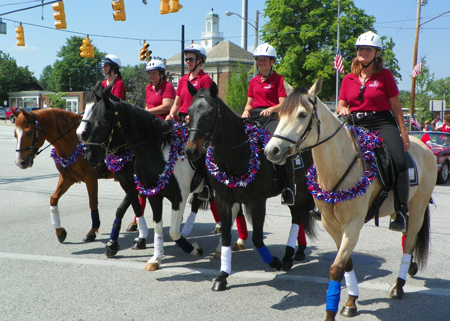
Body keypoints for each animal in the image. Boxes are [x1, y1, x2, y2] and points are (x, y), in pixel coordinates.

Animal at [13, 106, 114, 241]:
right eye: (15, 134)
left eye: (28, 133)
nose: (20, 162)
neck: (74, 141)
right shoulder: (67, 177)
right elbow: (53, 198)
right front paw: (59, 231)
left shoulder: (91, 178)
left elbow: (93, 202)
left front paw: (92, 231)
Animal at [83, 85, 206, 270]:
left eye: (102, 122)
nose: (90, 156)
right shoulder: (134, 185)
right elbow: (138, 211)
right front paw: (143, 246)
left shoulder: (170, 193)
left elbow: (123, 208)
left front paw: (113, 243)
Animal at [183, 82, 316, 290]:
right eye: (189, 112)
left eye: (211, 112)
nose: (191, 151)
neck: (238, 153)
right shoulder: (223, 200)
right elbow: (226, 236)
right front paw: (222, 276)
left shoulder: (257, 202)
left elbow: (258, 239)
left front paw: (274, 262)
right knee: (299, 215)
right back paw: (299, 250)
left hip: (300, 188)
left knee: (297, 215)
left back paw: (289, 256)